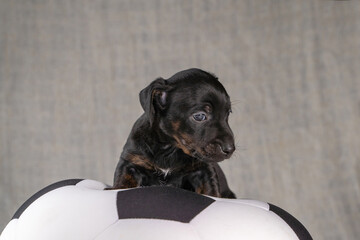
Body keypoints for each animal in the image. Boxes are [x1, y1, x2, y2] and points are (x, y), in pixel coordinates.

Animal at [112, 68, 236, 198]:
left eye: (228, 113)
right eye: (200, 116)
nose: (230, 149)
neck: (169, 148)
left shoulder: (204, 169)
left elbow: (211, 190)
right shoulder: (130, 163)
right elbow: (122, 183)